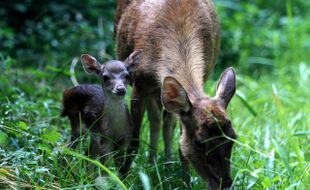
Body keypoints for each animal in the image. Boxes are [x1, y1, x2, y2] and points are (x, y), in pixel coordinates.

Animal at [115, 0, 237, 189]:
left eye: (233, 138)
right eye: (199, 143)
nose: (225, 184)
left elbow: (181, 145)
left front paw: (186, 181)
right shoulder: (139, 85)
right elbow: (134, 141)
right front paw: (121, 178)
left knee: (164, 121)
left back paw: (164, 163)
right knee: (156, 118)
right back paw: (152, 163)